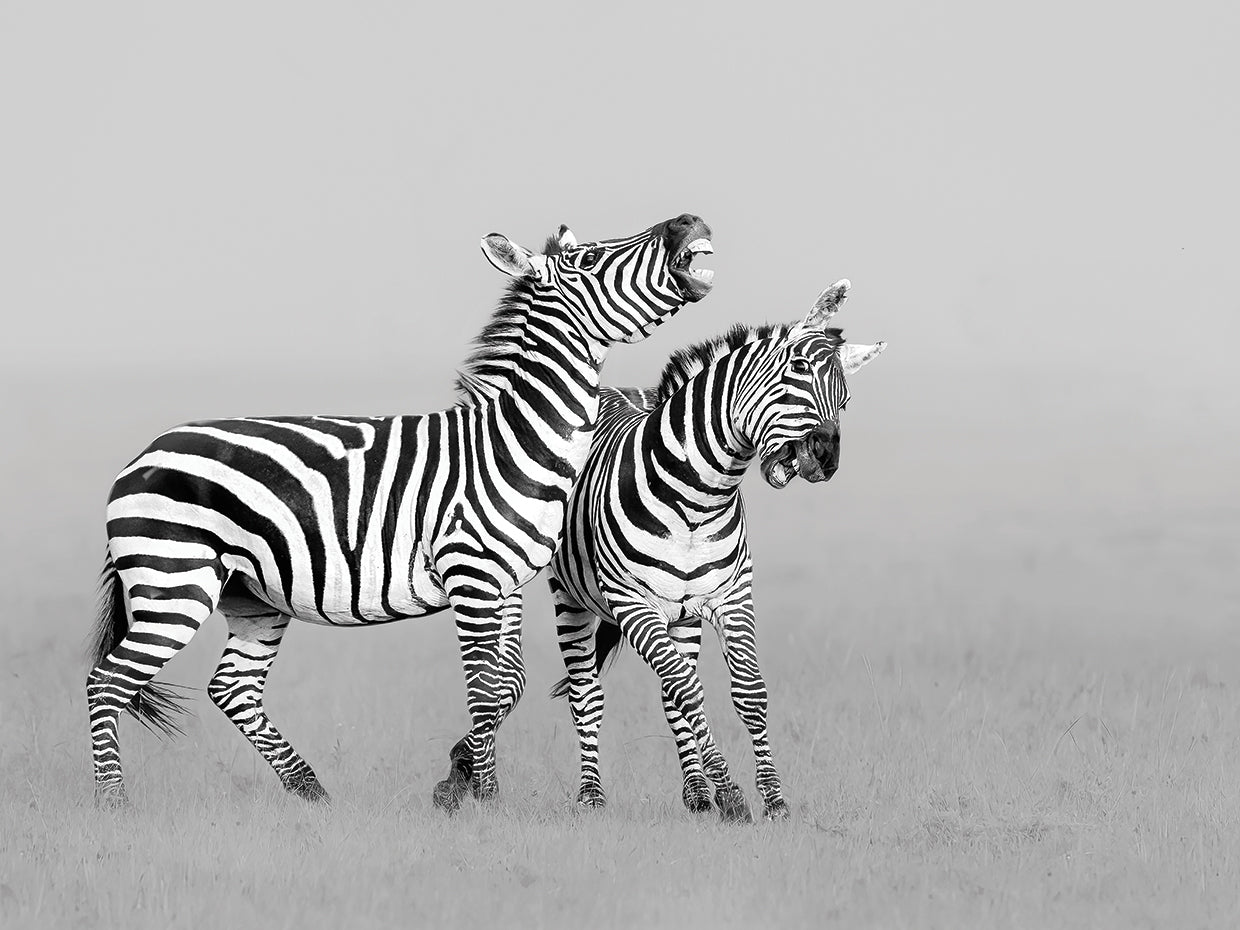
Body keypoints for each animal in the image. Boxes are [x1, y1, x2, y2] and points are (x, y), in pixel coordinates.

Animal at [86, 213, 715, 810]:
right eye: (590, 260)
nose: (687, 221)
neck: (514, 440)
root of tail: (141, 457)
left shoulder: (506, 584)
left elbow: (508, 683)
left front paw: (464, 778)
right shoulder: (471, 574)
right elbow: (485, 686)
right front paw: (480, 798)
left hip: (251, 596)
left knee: (231, 688)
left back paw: (311, 792)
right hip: (175, 583)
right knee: (106, 682)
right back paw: (114, 803)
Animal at [543, 280, 885, 821]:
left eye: (845, 400)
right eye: (796, 370)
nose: (827, 456)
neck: (697, 500)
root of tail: (609, 390)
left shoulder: (732, 597)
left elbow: (745, 693)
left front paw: (770, 798)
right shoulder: (633, 605)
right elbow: (688, 690)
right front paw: (733, 794)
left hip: (680, 615)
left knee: (671, 693)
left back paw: (696, 795)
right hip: (569, 597)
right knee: (588, 695)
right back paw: (592, 795)